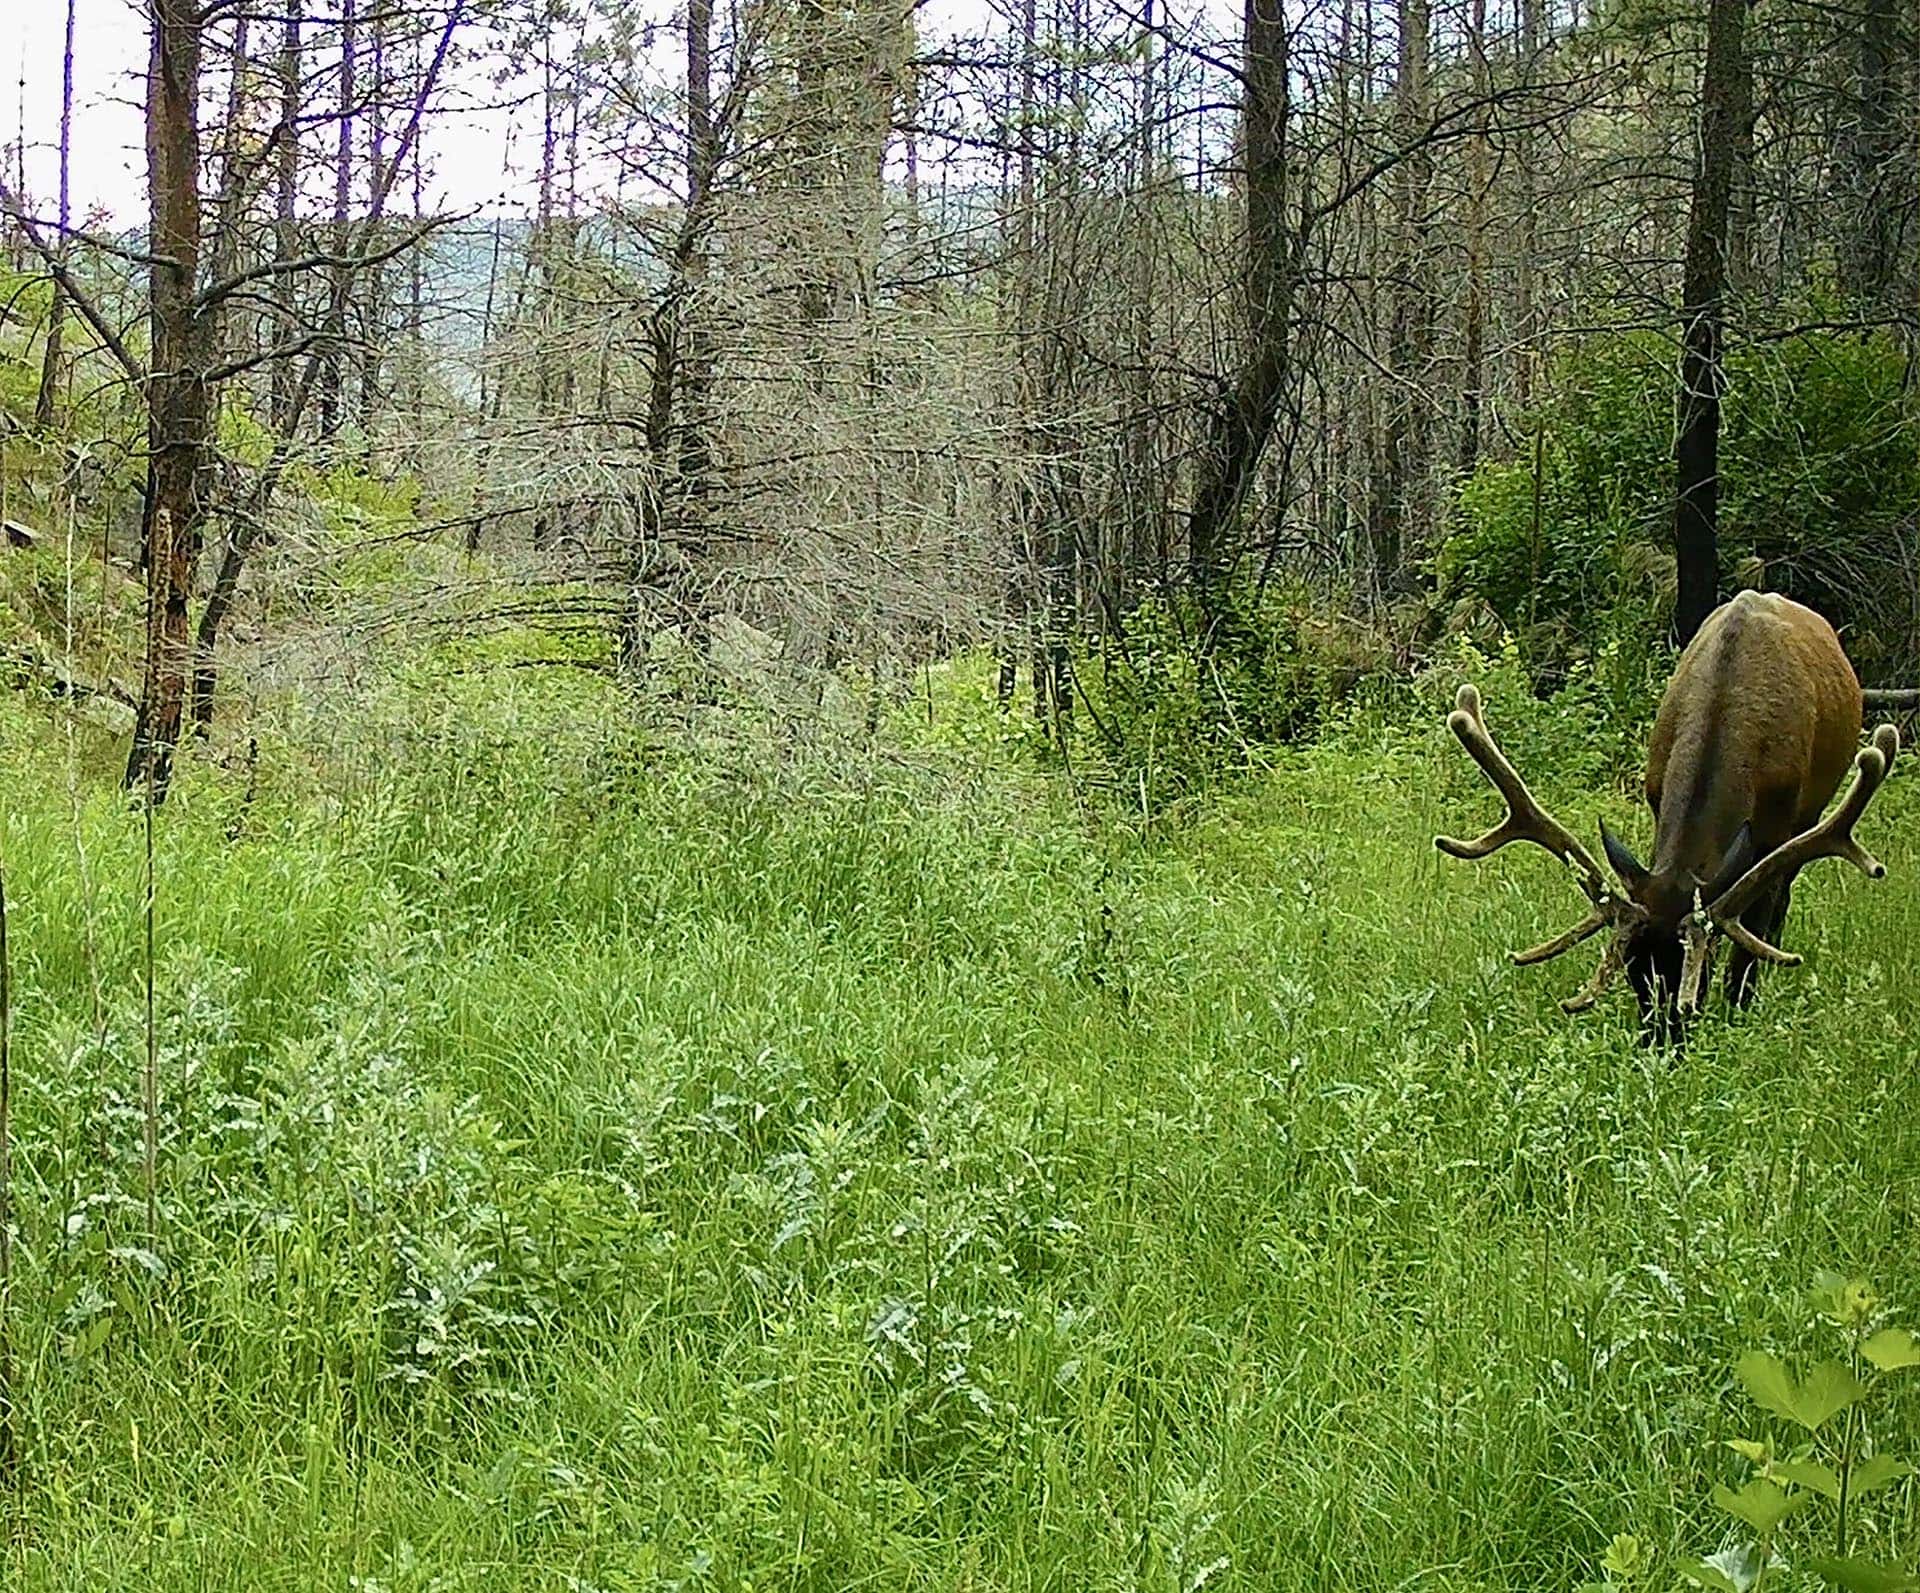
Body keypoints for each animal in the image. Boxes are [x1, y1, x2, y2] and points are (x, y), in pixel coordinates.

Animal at [1435, 590, 1901, 1039]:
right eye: (1633, 972)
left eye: (1696, 977)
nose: (1662, 1045)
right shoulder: (1656, 798)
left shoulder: (1778, 827)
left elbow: (1751, 934)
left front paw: (1740, 1006)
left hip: (1811, 814)